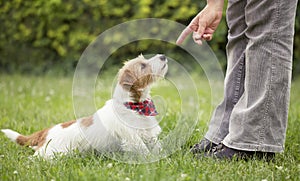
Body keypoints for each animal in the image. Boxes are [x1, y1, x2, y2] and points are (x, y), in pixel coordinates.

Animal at [1, 54, 168, 158]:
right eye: (143, 66)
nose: (163, 56)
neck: (133, 105)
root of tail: (46, 131)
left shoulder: (149, 135)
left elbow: (156, 147)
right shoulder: (133, 138)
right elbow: (144, 151)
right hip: (50, 154)